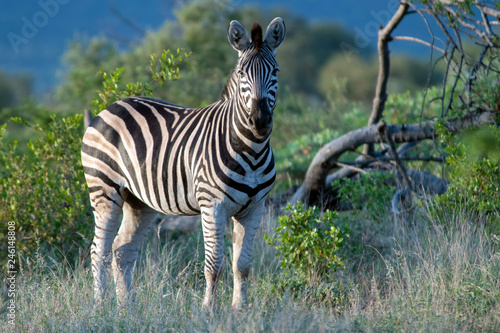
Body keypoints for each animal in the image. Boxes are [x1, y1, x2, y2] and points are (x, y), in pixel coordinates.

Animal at [81, 17, 286, 308]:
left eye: (275, 71)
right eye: (242, 74)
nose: (260, 120)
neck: (252, 149)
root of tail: (111, 106)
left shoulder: (255, 207)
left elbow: (242, 266)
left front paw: (239, 310)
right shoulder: (212, 206)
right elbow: (214, 265)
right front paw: (208, 310)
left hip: (139, 201)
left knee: (122, 250)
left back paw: (126, 309)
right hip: (104, 189)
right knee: (99, 251)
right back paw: (100, 307)